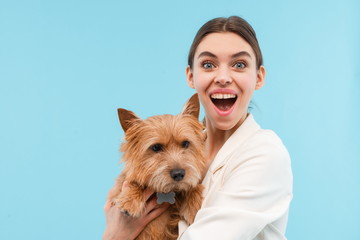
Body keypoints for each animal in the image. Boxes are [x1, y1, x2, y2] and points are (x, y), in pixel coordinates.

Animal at [108, 94, 207, 240]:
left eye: (185, 143)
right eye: (156, 147)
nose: (179, 174)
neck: (164, 192)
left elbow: (193, 184)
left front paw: (193, 206)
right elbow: (133, 182)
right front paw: (130, 201)